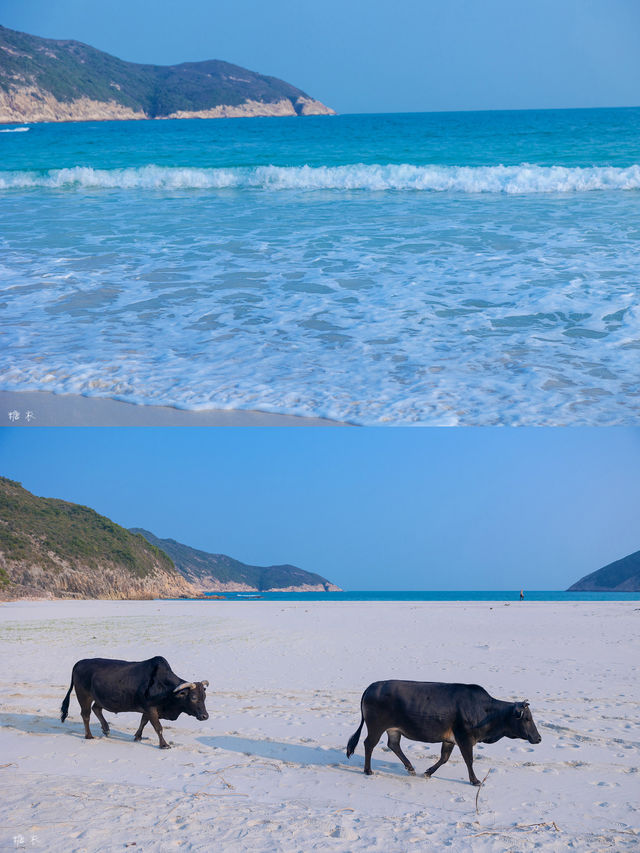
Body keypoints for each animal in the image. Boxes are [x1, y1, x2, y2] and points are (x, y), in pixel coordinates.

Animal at [60, 656, 210, 748]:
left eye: (204, 696)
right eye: (193, 697)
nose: (205, 716)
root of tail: (80, 663)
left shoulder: (148, 709)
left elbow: (143, 722)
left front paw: (138, 737)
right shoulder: (151, 708)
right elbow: (158, 727)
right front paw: (164, 745)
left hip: (99, 698)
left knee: (96, 709)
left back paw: (106, 729)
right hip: (84, 696)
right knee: (86, 715)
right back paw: (89, 736)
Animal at [348, 680, 544, 784]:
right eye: (527, 719)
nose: (538, 738)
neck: (487, 712)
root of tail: (371, 687)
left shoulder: (449, 739)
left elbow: (444, 758)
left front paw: (428, 772)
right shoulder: (465, 737)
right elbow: (469, 760)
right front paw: (475, 781)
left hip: (393, 729)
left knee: (393, 745)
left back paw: (410, 768)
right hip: (376, 726)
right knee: (369, 744)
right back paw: (368, 770)